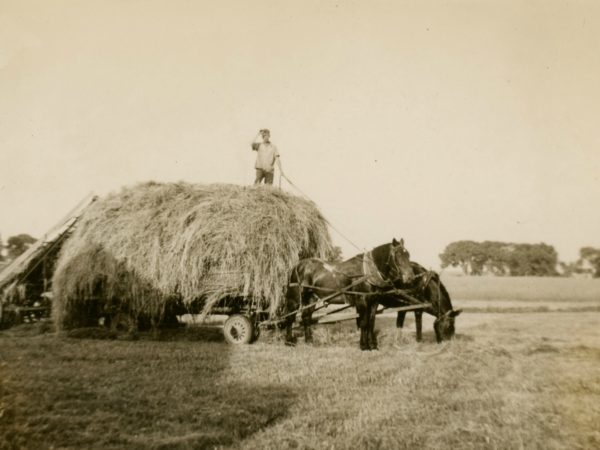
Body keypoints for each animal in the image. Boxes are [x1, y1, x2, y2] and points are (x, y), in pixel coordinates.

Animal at [284, 237, 414, 350]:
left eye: (408, 254)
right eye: (398, 255)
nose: (410, 277)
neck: (367, 272)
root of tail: (296, 266)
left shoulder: (374, 301)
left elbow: (371, 322)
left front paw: (372, 345)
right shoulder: (362, 300)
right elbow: (364, 322)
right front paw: (364, 346)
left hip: (311, 298)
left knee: (306, 317)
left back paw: (309, 341)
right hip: (295, 298)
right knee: (290, 317)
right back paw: (289, 341)